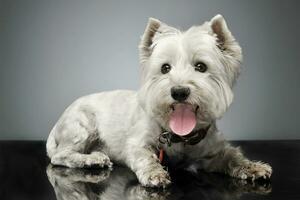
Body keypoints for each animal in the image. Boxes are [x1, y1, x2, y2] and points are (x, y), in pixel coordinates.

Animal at [46, 14, 272, 188]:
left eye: (201, 66)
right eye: (165, 68)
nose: (179, 91)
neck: (180, 138)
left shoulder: (212, 150)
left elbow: (232, 155)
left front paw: (254, 167)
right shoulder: (137, 143)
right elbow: (145, 156)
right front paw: (155, 173)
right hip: (82, 125)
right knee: (61, 155)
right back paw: (92, 159)